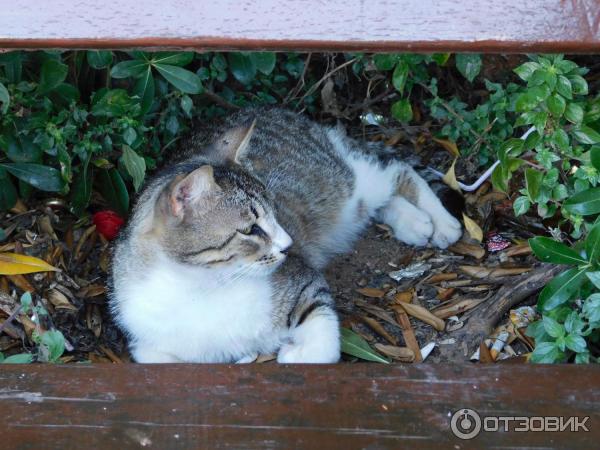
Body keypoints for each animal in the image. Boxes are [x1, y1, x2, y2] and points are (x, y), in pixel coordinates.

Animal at [110, 107, 462, 364]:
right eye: (251, 229)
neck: (203, 288)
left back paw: (442, 222)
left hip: (346, 182)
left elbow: (324, 346)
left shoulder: (307, 282)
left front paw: (294, 353)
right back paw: (414, 221)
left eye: (274, 211)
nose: (288, 245)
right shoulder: (145, 346)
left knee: (397, 170)